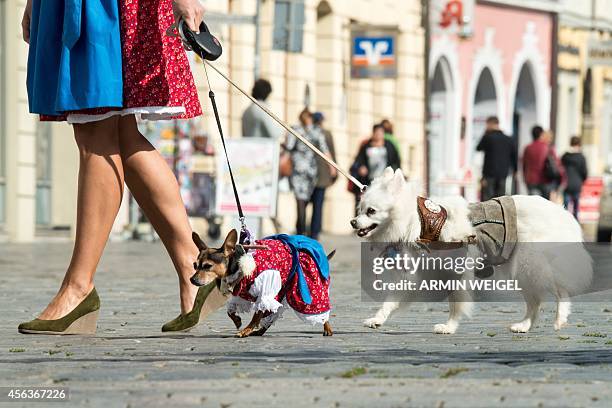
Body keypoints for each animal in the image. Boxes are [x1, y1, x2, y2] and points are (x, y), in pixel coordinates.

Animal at [191, 230, 334, 338]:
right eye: (195, 266)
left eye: (208, 266)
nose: (192, 280)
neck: (239, 266)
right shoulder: (242, 295)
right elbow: (231, 311)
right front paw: (237, 321)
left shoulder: (264, 293)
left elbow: (256, 316)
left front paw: (246, 330)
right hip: (282, 292)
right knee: (272, 315)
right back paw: (260, 331)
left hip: (309, 289)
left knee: (321, 310)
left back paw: (327, 328)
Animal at [350, 167, 592, 334]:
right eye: (359, 209)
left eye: (371, 211)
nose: (352, 222)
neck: (419, 223)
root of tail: (562, 212)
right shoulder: (415, 277)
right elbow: (390, 301)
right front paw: (377, 319)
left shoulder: (455, 273)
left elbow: (456, 304)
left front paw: (449, 327)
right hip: (523, 271)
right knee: (535, 301)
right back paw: (524, 326)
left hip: (532, 264)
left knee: (560, 291)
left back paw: (560, 318)